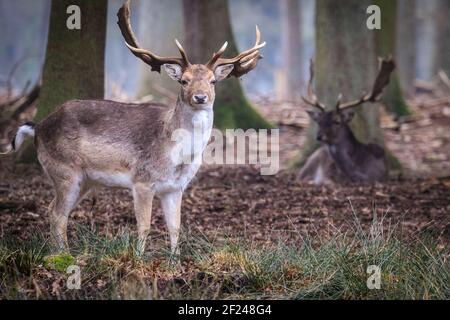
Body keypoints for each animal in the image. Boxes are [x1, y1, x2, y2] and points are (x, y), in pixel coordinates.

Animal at [2, 0, 264, 255]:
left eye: (213, 81)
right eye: (184, 81)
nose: (200, 97)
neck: (177, 156)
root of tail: (38, 126)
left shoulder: (175, 188)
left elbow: (175, 227)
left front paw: (174, 261)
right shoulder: (142, 181)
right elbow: (144, 226)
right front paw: (138, 260)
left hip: (85, 180)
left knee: (52, 210)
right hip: (65, 170)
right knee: (57, 213)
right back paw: (64, 256)